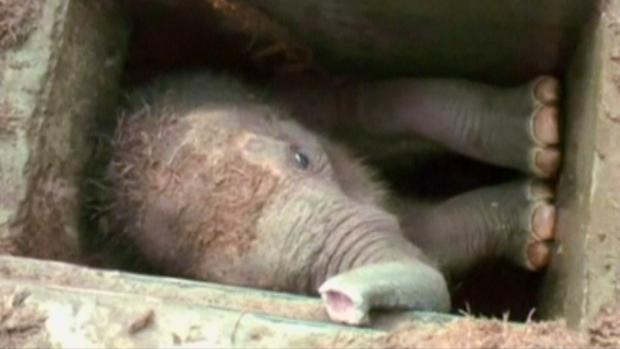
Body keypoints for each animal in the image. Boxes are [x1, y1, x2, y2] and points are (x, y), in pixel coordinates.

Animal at [106, 72, 560, 324]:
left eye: (302, 157)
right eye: (273, 284)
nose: (340, 299)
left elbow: (371, 107)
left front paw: (545, 121)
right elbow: (426, 238)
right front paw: (537, 219)